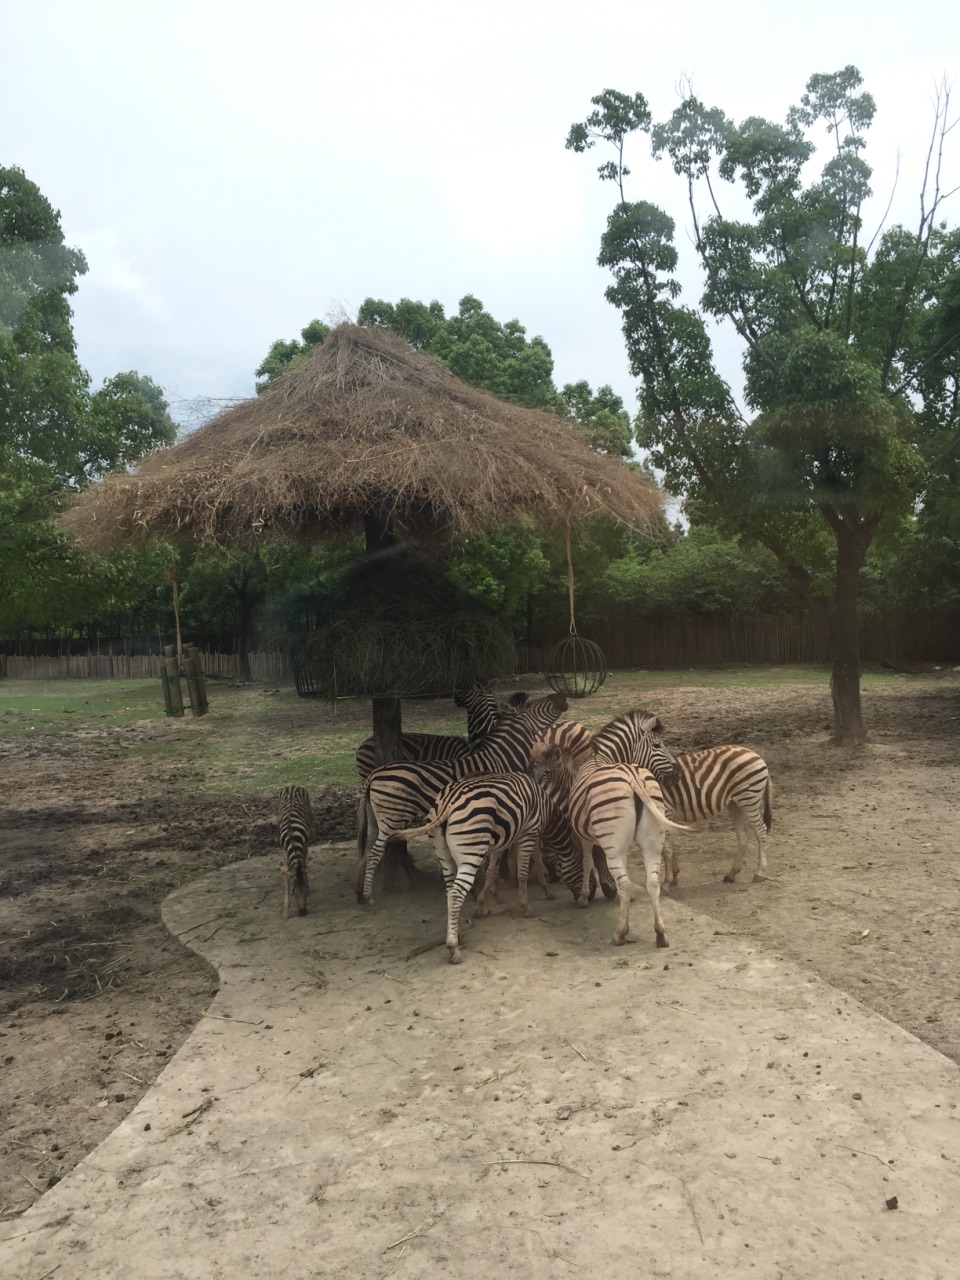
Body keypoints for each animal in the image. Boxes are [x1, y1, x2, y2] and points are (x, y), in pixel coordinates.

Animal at [277, 783, 312, 916]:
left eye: (306, 890)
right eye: (293, 891)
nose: (303, 913)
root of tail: (292, 785)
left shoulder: (304, 843)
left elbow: (304, 862)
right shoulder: (284, 849)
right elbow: (287, 873)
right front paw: (285, 909)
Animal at [360, 691, 570, 911]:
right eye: (529, 706)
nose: (561, 696)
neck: (500, 759)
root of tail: (373, 775)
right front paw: (496, 887)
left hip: (376, 819)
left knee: (367, 850)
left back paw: (363, 893)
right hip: (391, 818)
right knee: (374, 853)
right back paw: (369, 897)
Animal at [660, 747, 773, 885]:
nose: (674, 777)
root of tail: (754, 753)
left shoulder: (665, 811)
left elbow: (665, 847)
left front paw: (668, 880)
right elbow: (668, 845)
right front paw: (674, 874)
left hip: (748, 800)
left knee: (761, 830)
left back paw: (760, 872)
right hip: (734, 804)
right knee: (743, 836)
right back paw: (731, 874)